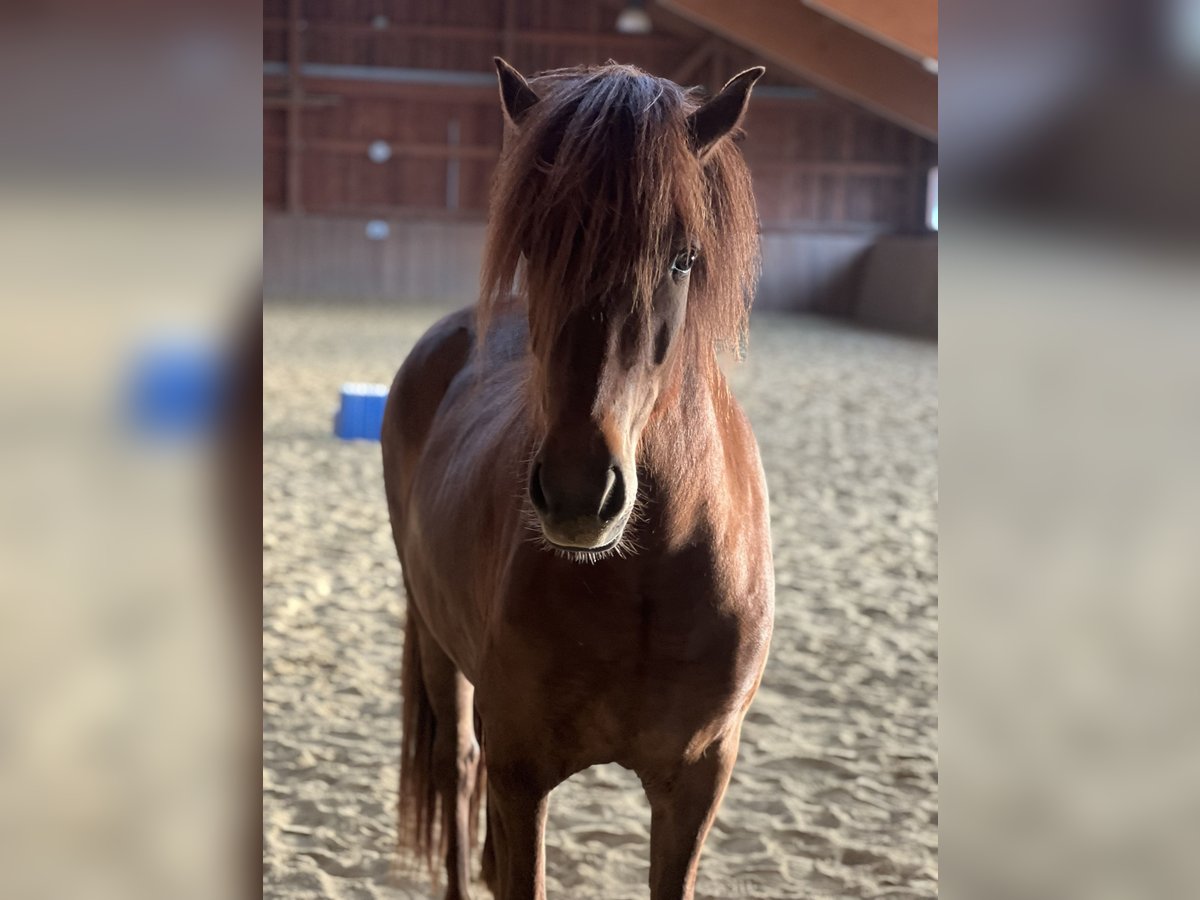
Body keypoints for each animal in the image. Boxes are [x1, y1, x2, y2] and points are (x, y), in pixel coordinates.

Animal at [381, 58, 774, 900]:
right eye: (535, 247)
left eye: (682, 257)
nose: (577, 494)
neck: (648, 577)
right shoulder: (523, 776)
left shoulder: (697, 783)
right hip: (437, 646)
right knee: (455, 766)